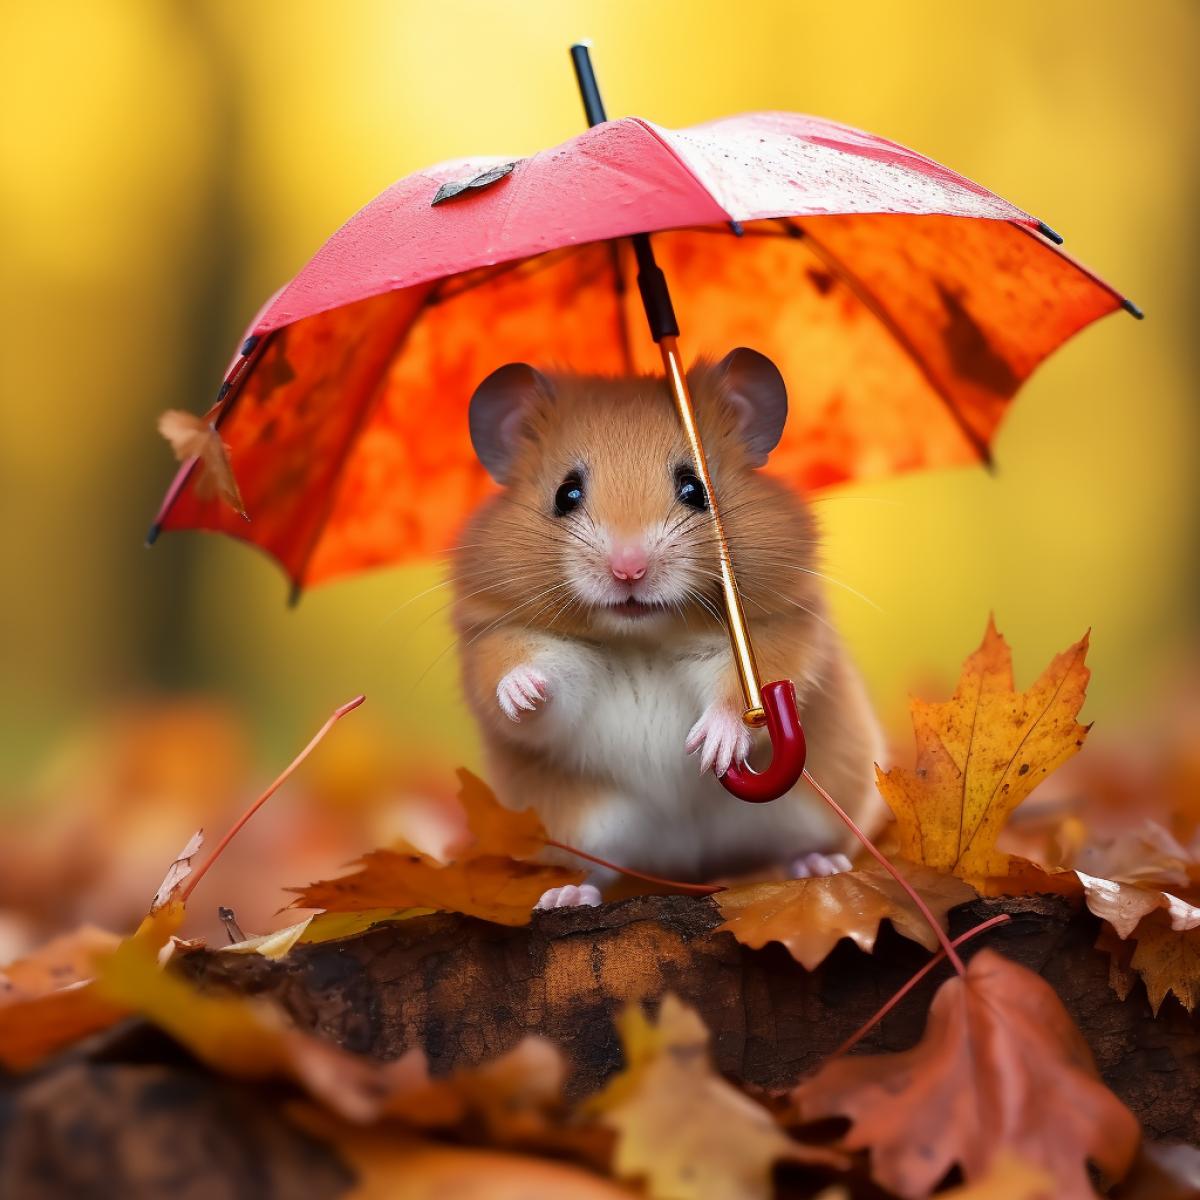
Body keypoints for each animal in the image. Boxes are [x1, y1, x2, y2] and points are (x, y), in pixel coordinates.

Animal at [451, 348, 886, 908]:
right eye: (566, 494)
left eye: (695, 488)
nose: (628, 570)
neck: (643, 638)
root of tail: (694, 866)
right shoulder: (499, 635)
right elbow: (522, 682)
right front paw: (525, 691)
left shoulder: (780, 631)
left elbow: (739, 695)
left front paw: (708, 748)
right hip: (581, 827)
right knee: (596, 870)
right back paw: (564, 897)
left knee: (802, 847)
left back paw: (820, 867)